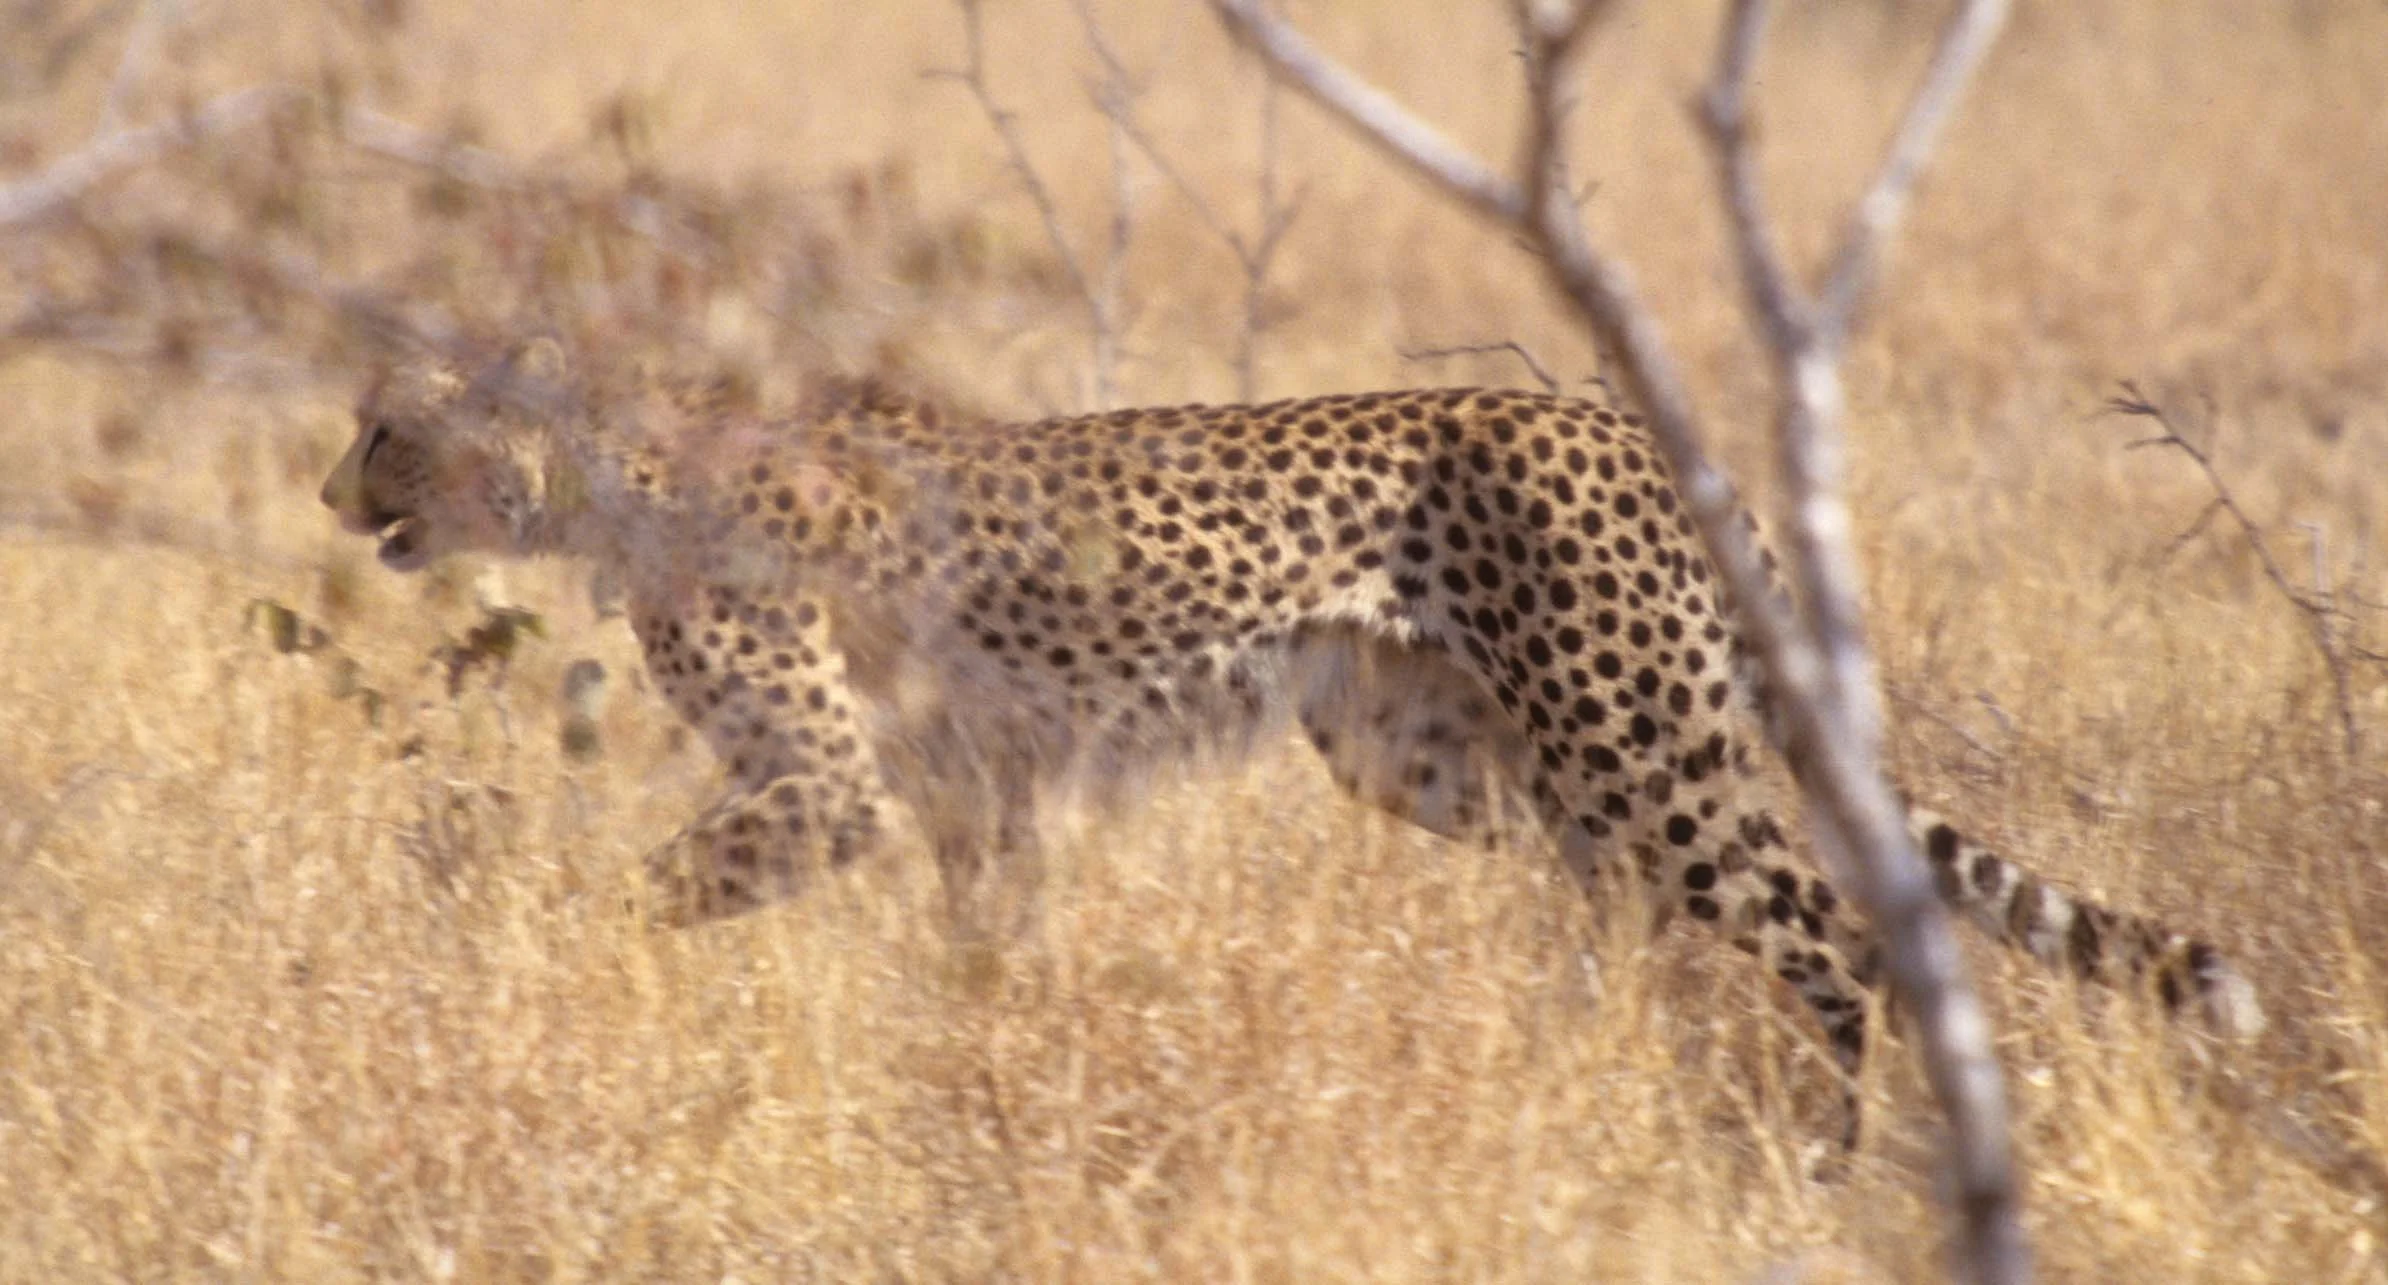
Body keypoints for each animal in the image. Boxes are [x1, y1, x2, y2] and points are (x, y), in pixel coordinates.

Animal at [320, 341, 2264, 1075]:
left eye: (386, 426)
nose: (333, 494)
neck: (612, 472)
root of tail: (1616, 416)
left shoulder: (829, 787)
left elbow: (625, 896)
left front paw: (525, 970)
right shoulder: (968, 790)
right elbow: (982, 945)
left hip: (1633, 749)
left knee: (1830, 929)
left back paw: (1823, 1156)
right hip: (1453, 760)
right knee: (1666, 913)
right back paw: (1634, 1088)